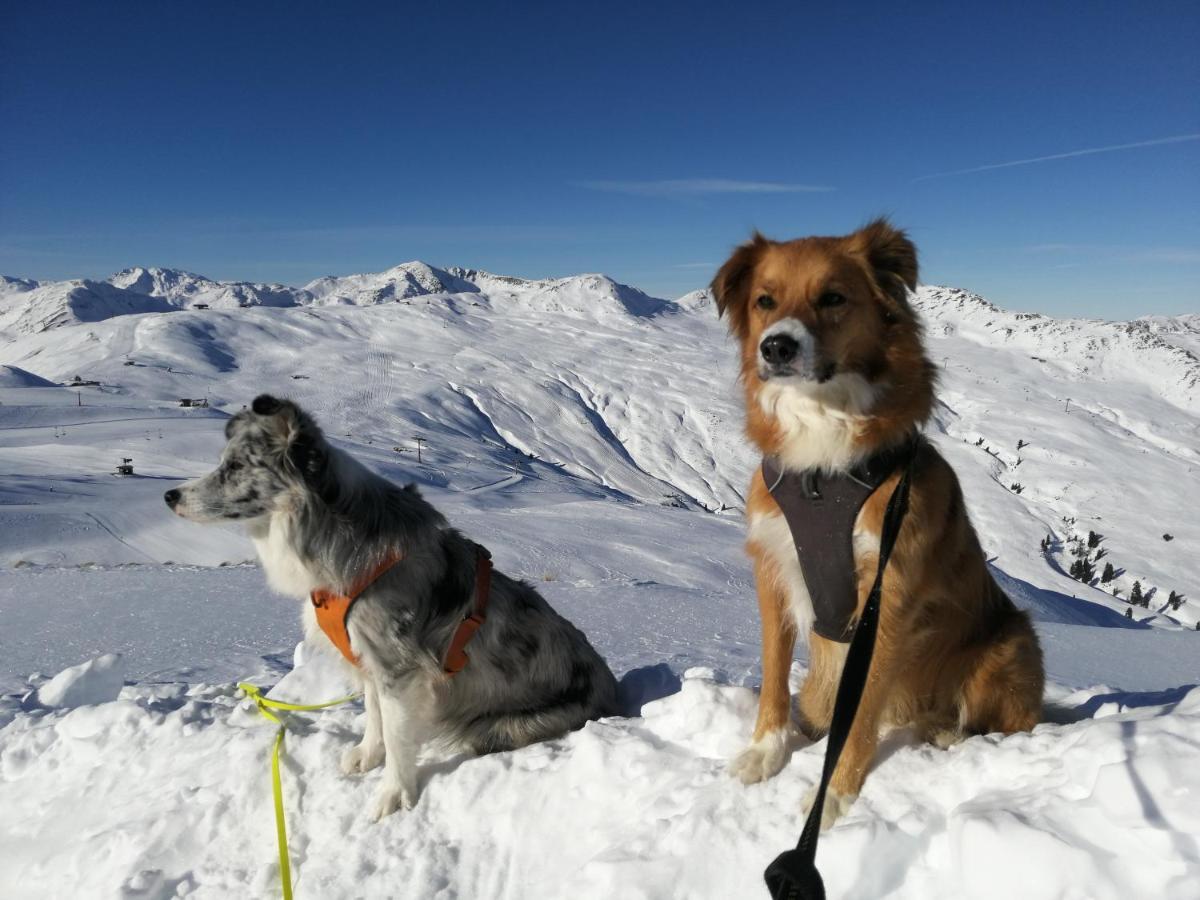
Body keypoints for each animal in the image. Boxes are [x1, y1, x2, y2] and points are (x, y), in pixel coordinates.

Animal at [710, 220, 1041, 830]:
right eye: (765, 301)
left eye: (833, 298)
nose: (777, 347)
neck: (823, 472)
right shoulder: (773, 569)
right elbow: (773, 675)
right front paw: (766, 752)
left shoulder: (888, 593)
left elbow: (860, 712)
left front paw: (835, 796)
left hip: (1011, 645)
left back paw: (948, 733)